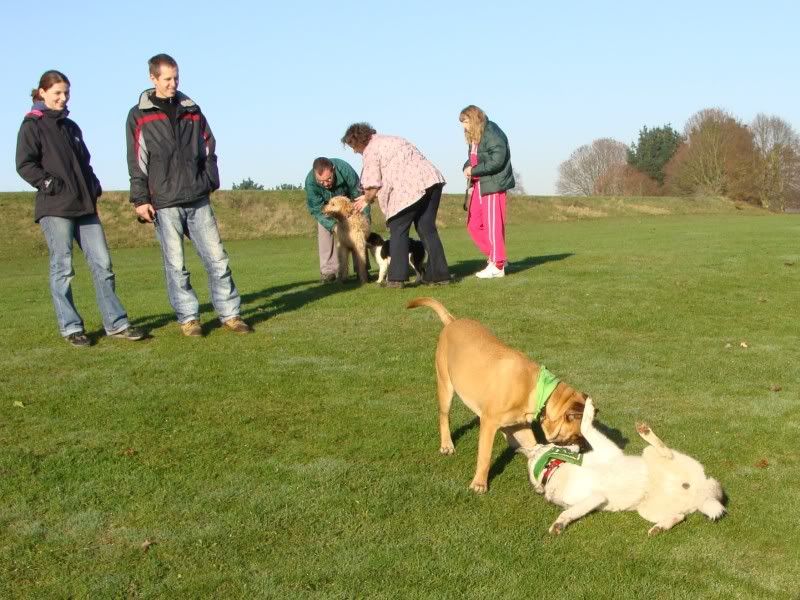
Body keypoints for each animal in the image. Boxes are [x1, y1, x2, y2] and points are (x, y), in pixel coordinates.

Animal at [406, 298, 588, 494]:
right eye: (577, 435)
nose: (585, 448)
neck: (538, 391)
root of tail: (451, 322)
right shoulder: (489, 423)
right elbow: (485, 456)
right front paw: (479, 483)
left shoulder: (520, 426)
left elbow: (534, 447)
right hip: (445, 384)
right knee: (444, 416)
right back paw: (447, 445)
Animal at [524, 398, 724, 536]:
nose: (531, 447)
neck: (554, 469)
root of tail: (701, 490)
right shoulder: (593, 499)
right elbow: (570, 512)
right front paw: (559, 524)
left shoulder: (606, 452)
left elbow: (586, 427)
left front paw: (588, 407)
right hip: (647, 510)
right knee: (680, 516)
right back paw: (659, 528)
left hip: (650, 455)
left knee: (665, 451)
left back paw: (645, 432)